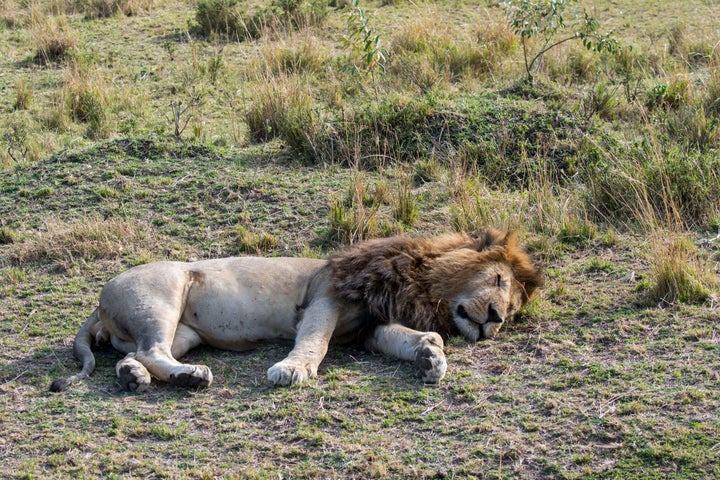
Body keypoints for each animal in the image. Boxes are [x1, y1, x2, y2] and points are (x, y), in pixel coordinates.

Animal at [49, 231, 540, 392]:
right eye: (499, 281)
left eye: (515, 310)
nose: (495, 320)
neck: (421, 286)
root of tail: (99, 299)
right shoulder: (327, 297)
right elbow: (315, 340)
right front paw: (292, 370)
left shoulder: (369, 326)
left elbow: (412, 338)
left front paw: (430, 357)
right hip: (163, 297)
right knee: (152, 350)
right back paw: (193, 378)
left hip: (182, 333)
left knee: (139, 354)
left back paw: (134, 377)